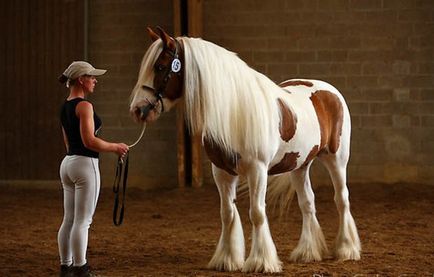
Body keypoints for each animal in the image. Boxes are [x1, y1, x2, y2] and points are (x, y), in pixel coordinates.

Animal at [128, 27, 360, 272]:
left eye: (160, 67)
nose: (137, 110)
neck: (234, 111)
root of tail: (329, 90)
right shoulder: (221, 172)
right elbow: (227, 214)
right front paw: (227, 259)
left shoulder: (257, 170)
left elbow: (256, 213)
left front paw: (260, 261)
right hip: (300, 165)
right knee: (307, 203)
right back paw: (307, 253)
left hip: (337, 159)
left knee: (341, 198)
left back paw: (347, 249)